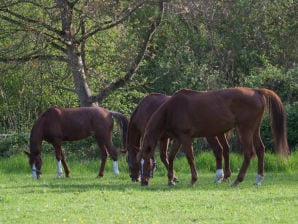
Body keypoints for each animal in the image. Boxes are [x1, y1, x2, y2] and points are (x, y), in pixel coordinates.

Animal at [140, 88, 288, 186]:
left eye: (148, 163)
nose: (143, 182)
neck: (172, 109)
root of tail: (256, 91)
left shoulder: (185, 137)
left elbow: (190, 158)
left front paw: (193, 180)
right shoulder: (178, 138)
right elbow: (171, 157)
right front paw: (171, 180)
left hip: (245, 130)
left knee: (248, 153)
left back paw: (237, 180)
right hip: (254, 130)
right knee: (260, 150)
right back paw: (258, 179)